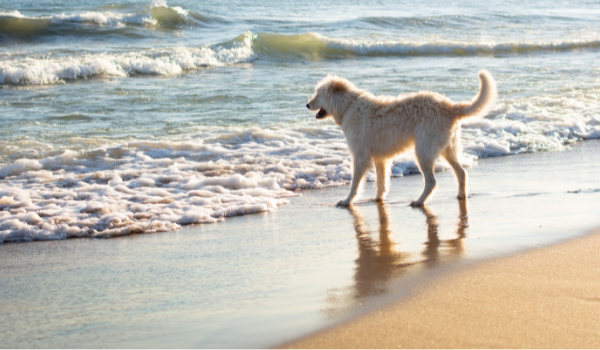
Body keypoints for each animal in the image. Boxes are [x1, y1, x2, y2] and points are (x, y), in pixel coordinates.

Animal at [304, 70, 496, 206]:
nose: (306, 104)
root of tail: (450, 107)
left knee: (431, 182)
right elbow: (381, 183)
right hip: (447, 150)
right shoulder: (380, 159)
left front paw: (346, 201)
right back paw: (461, 195)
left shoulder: (360, 157)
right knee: (461, 173)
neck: (348, 106)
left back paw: (419, 202)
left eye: (318, 93)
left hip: (423, 151)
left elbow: (355, 184)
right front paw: (378, 199)